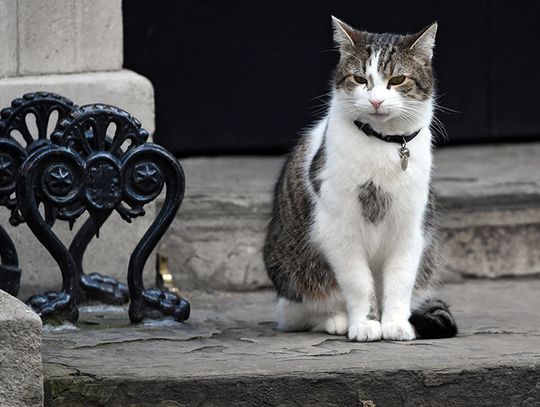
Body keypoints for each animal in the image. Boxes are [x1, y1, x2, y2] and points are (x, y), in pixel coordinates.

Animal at [264, 16, 458, 342]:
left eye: (397, 80)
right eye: (359, 79)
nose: (376, 101)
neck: (384, 145)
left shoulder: (410, 227)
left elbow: (400, 280)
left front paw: (395, 323)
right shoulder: (339, 228)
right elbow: (357, 282)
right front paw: (366, 324)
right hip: (293, 273)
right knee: (297, 313)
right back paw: (336, 319)